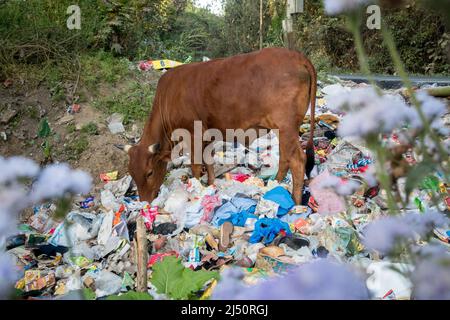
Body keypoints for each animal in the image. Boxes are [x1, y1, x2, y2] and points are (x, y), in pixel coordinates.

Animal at [118, 48, 318, 206]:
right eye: (132, 174)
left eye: (149, 173)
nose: (144, 202)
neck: (167, 98)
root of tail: (297, 56)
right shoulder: (207, 135)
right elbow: (209, 161)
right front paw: (211, 184)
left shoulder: (193, 135)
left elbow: (196, 166)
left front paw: (196, 188)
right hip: (283, 130)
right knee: (285, 158)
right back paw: (274, 185)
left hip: (286, 127)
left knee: (297, 160)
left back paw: (295, 202)